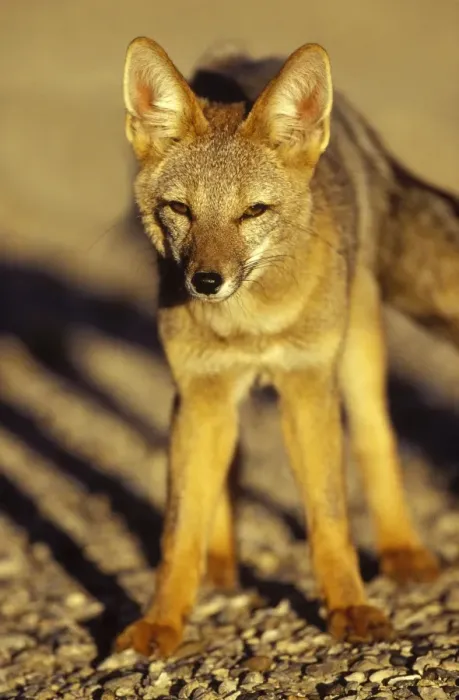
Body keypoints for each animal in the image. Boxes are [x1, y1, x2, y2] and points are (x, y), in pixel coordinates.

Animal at [115, 36, 459, 658]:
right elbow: (179, 530)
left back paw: (402, 552)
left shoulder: (306, 388)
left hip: (357, 358)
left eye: (254, 211)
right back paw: (221, 564)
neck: (249, 326)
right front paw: (162, 620)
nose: (206, 282)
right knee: (230, 467)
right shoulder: (200, 393)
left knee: (377, 440)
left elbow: (329, 518)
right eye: (180, 209)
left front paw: (349, 608)